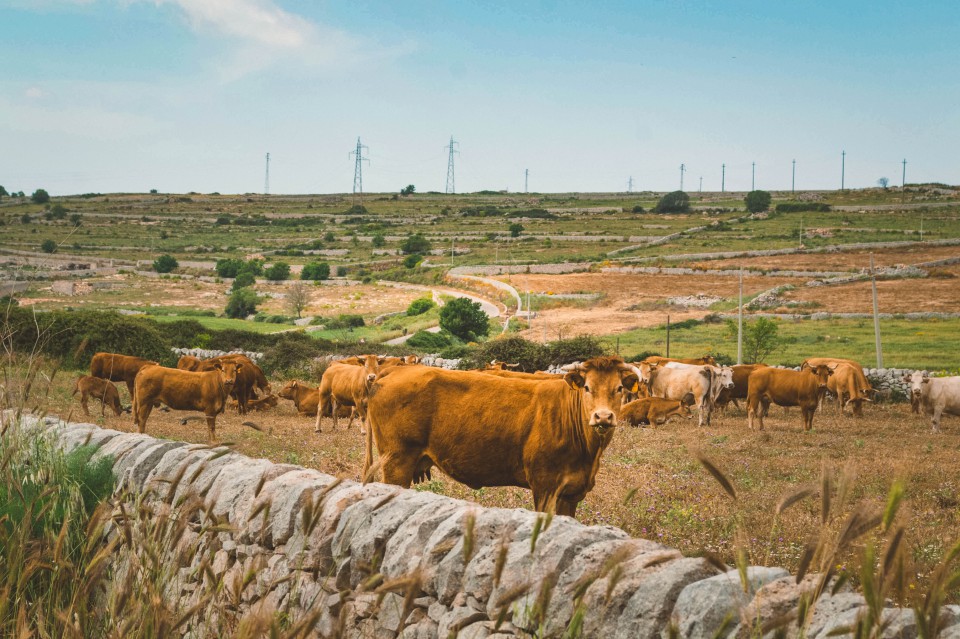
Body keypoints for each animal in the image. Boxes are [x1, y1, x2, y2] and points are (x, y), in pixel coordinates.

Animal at [364, 358, 640, 516]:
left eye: (619, 388)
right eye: (587, 388)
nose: (603, 417)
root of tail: (391, 372)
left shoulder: (571, 493)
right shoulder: (545, 487)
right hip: (396, 462)